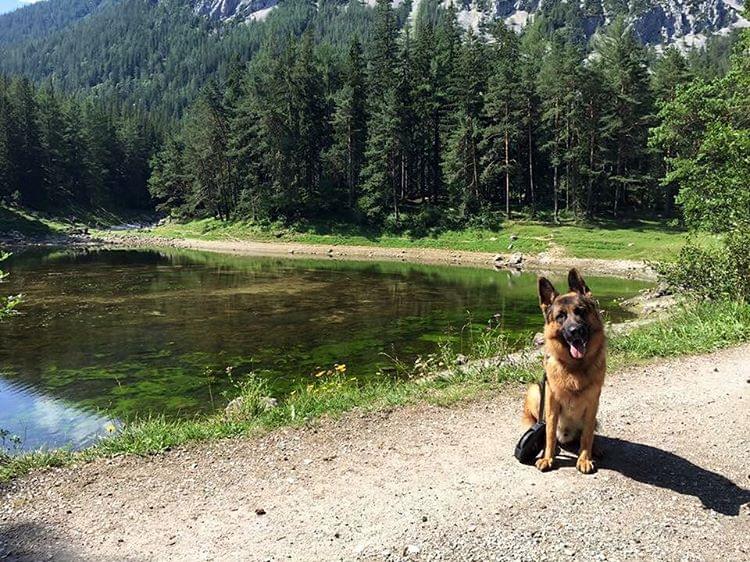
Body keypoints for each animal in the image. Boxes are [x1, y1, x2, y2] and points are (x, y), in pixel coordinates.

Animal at [524, 270, 608, 470]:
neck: (575, 368)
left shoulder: (593, 403)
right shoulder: (551, 402)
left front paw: (584, 458)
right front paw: (547, 457)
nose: (574, 330)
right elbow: (549, 433)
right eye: (560, 316)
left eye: (580, 311)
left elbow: (587, 436)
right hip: (535, 391)